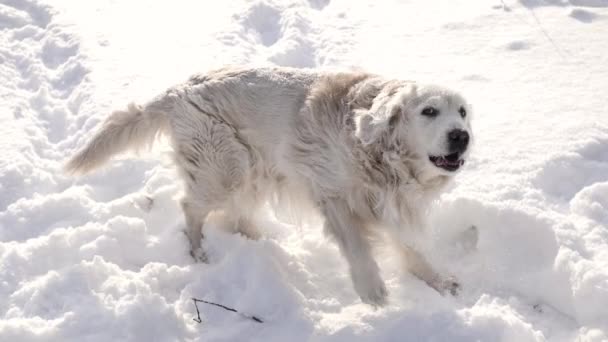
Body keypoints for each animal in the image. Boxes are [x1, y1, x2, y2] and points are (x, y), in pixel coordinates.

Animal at [67, 66, 476, 304]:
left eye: (462, 111)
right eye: (428, 111)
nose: (461, 136)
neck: (376, 151)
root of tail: (177, 91)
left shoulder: (389, 201)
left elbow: (411, 248)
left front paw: (439, 282)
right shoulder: (332, 194)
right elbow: (358, 246)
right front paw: (371, 290)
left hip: (249, 169)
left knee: (237, 214)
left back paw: (260, 243)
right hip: (224, 167)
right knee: (192, 207)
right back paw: (199, 251)